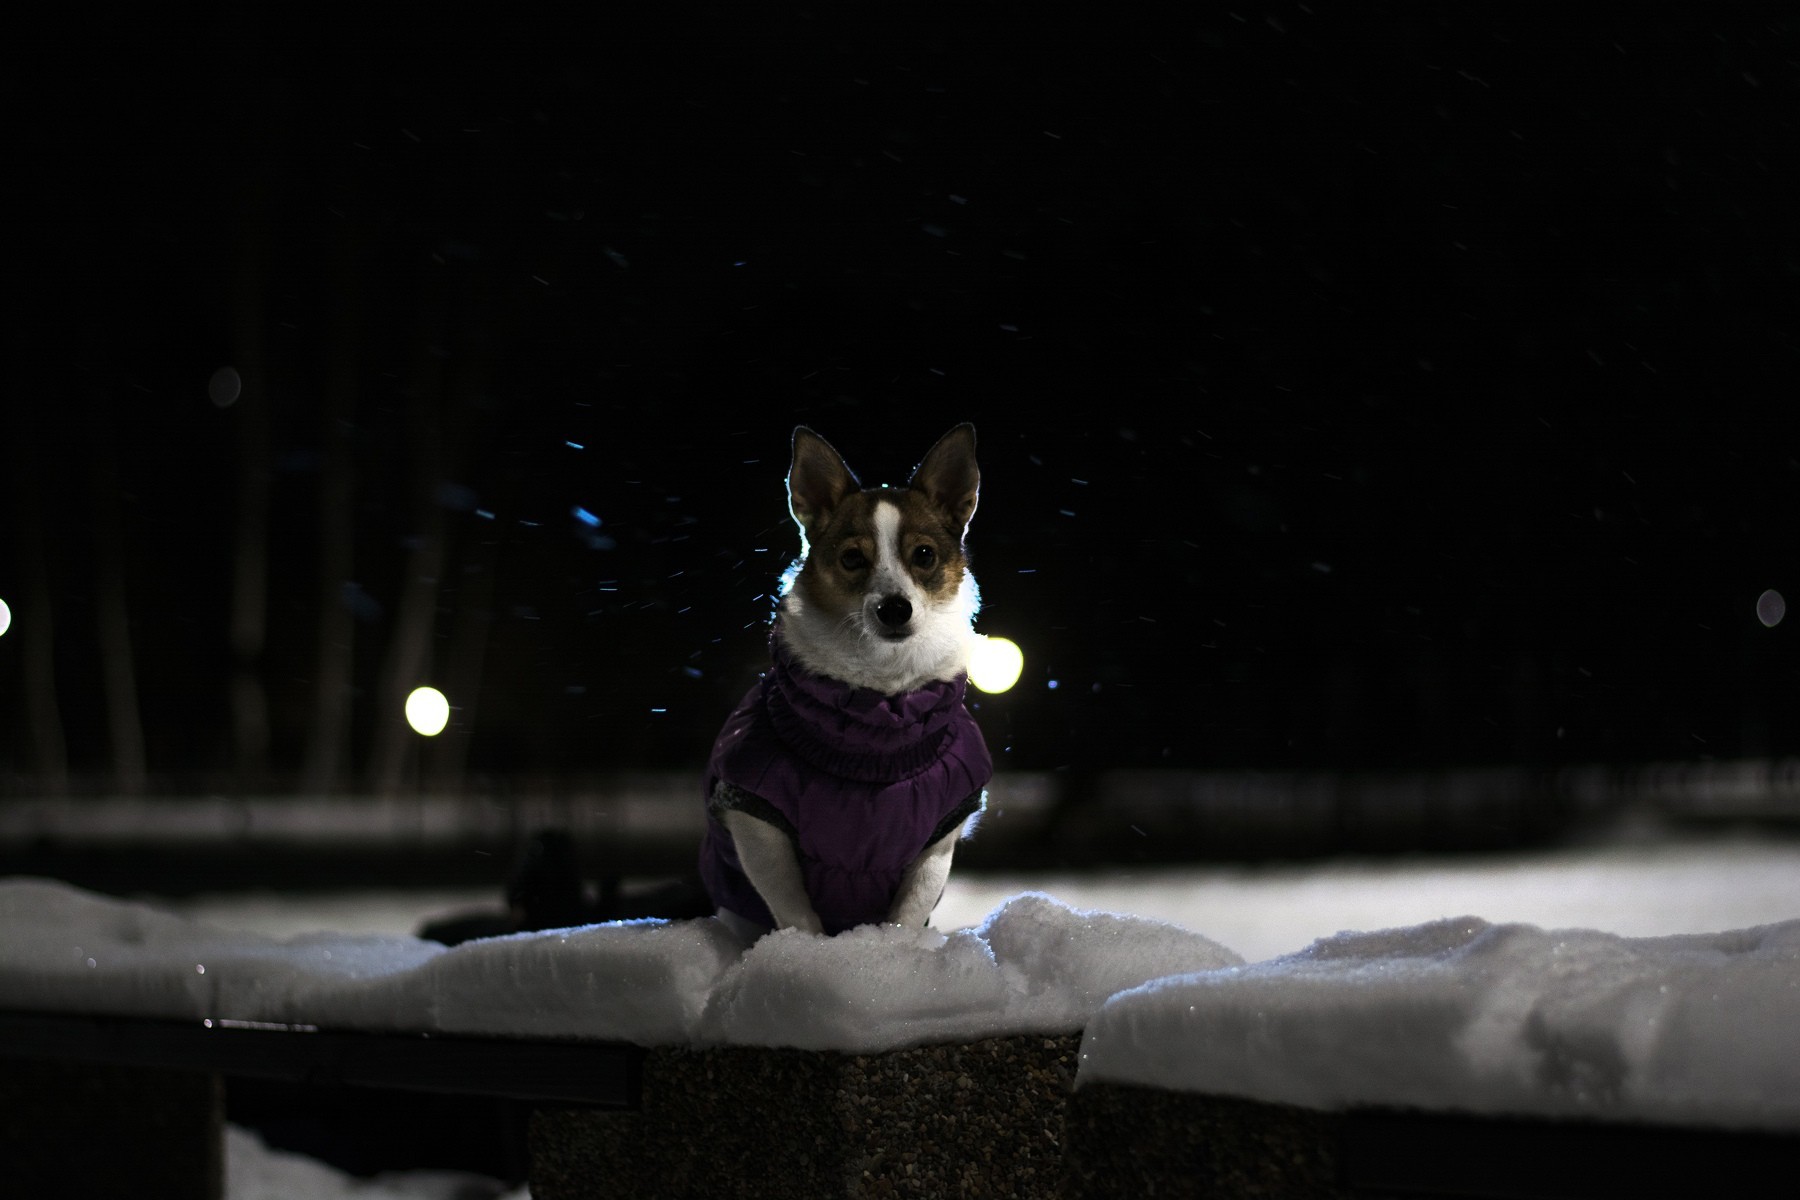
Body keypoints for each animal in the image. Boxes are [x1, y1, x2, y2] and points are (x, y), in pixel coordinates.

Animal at [694, 422, 993, 935]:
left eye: (925, 555)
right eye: (853, 559)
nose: (895, 608)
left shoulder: (937, 842)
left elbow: (908, 913)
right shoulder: (756, 821)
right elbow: (794, 909)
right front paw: (807, 951)